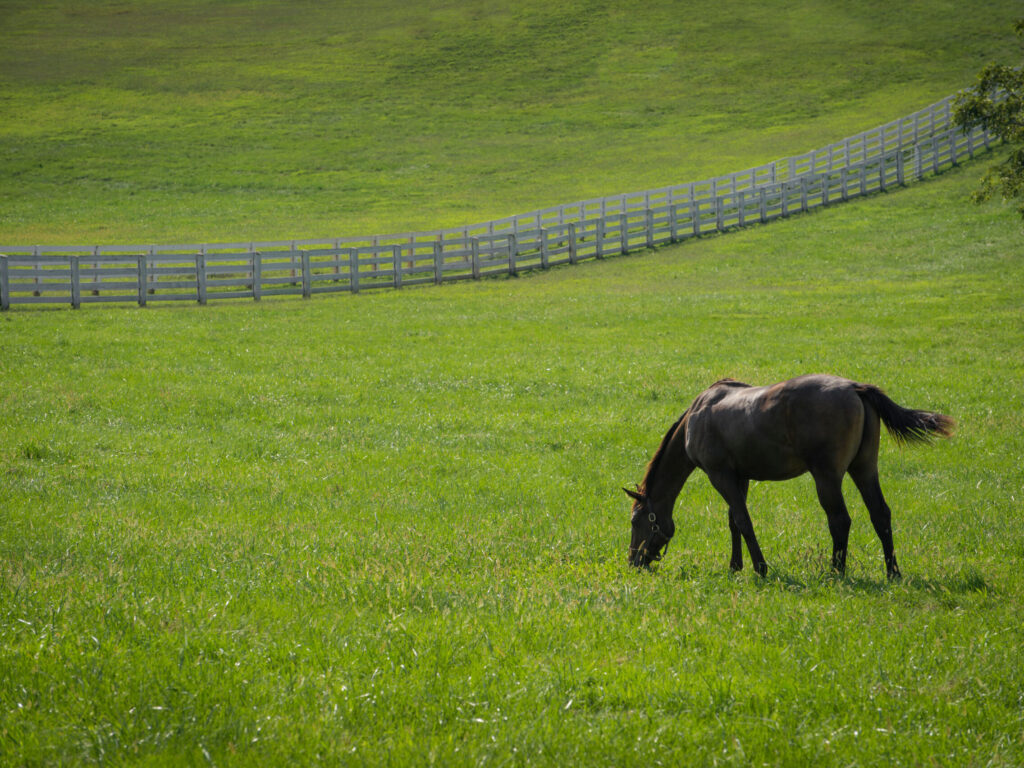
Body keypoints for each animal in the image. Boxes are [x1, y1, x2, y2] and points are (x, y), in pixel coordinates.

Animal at [626, 376, 954, 581]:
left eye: (635, 521)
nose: (633, 562)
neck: (697, 415)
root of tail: (855, 388)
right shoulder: (739, 477)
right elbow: (734, 522)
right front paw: (735, 566)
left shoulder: (720, 476)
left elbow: (743, 521)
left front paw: (760, 568)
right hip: (864, 469)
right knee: (880, 515)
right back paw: (892, 572)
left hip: (827, 477)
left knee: (840, 520)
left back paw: (836, 572)